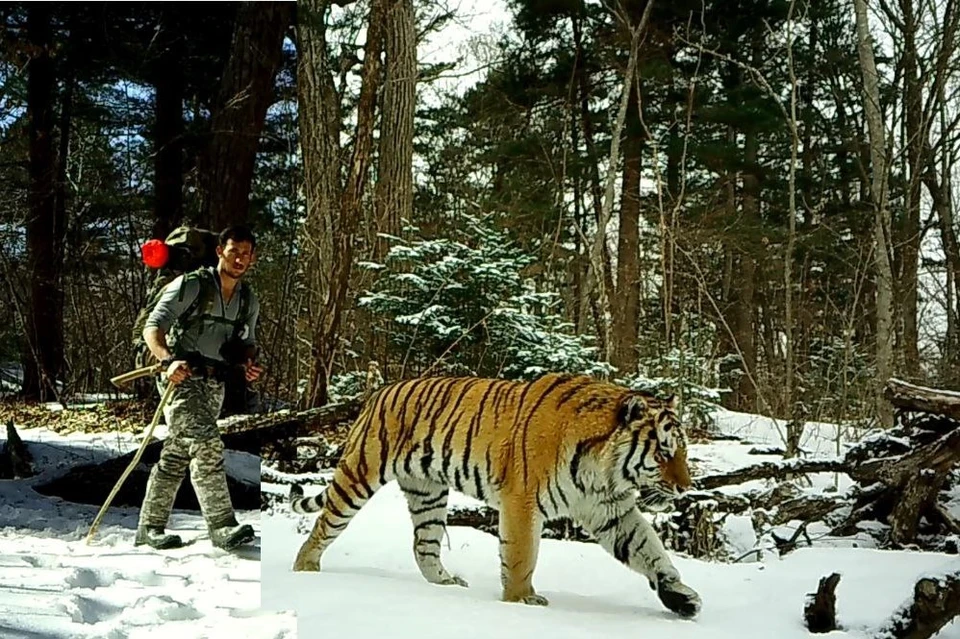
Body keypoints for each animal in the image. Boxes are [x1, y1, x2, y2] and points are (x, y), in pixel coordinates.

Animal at [288, 372, 700, 616]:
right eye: (664, 453)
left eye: (683, 451)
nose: (686, 487)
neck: (605, 474)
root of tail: (379, 392)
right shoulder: (522, 502)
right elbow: (521, 556)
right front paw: (522, 602)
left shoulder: (610, 510)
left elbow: (649, 550)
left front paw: (681, 597)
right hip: (360, 474)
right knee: (324, 524)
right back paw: (305, 568)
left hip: (429, 495)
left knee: (424, 546)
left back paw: (445, 583)